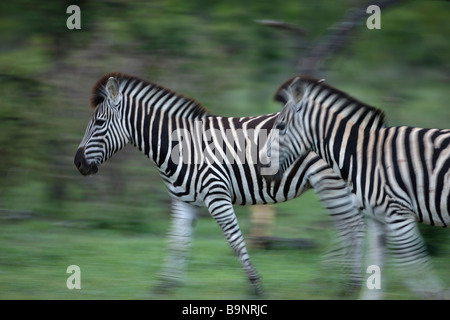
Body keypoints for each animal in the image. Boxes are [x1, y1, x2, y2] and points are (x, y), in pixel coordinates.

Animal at [72, 72, 364, 296]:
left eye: (99, 122)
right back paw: (330, 279)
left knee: (350, 226)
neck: (180, 146)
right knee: (348, 226)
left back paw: (348, 282)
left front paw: (255, 286)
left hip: (329, 181)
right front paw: (165, 285)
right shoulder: (184, 201)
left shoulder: (216, 196)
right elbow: (176, 241)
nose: (78, 163)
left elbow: (235, 241)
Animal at [264, 76, 450, 298]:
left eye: (281, 126)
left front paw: (435, 293)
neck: (363, 155)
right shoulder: (378, 218)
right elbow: (376, 268)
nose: (262, 166)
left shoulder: (400, 216)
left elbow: (414, 267)